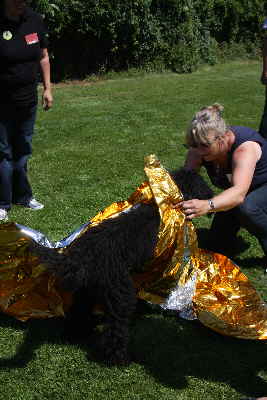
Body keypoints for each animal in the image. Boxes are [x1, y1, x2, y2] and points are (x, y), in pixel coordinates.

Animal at [30, 168, 214, 366]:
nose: (210, 195)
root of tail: (84, 256)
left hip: (86, 290)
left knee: (79, 312)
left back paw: (74, 334)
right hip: (120, 294)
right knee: (115, 330)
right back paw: (119, 358)